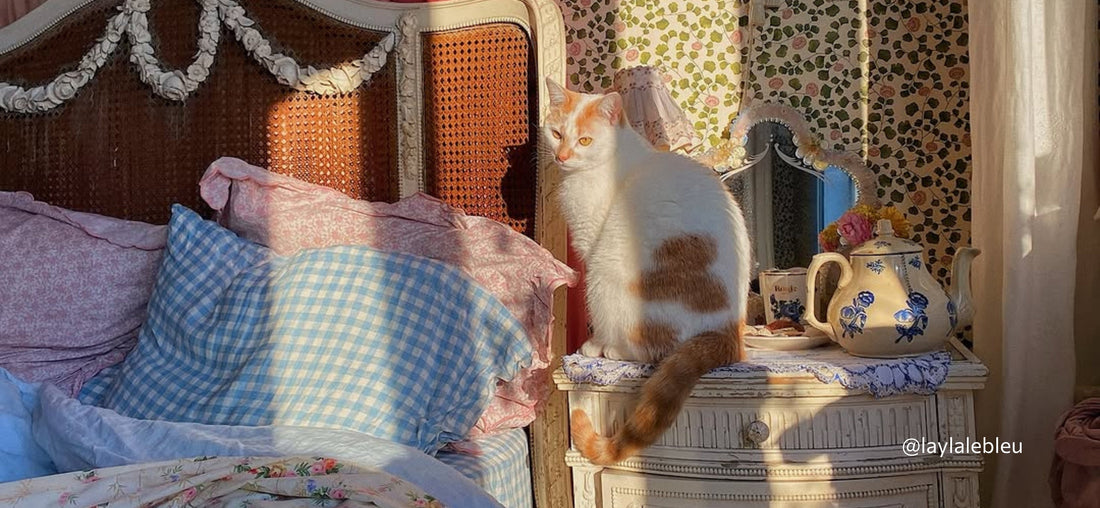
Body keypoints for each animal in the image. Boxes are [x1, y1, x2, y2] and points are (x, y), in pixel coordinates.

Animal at [543, 78, 752, 464]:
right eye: (556, 133)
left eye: (584, 141)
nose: (561, 157)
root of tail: (727, 331)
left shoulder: (591, 243)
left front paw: (595, 344)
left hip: (603, 274)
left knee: (650, 352)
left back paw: (608, 349)